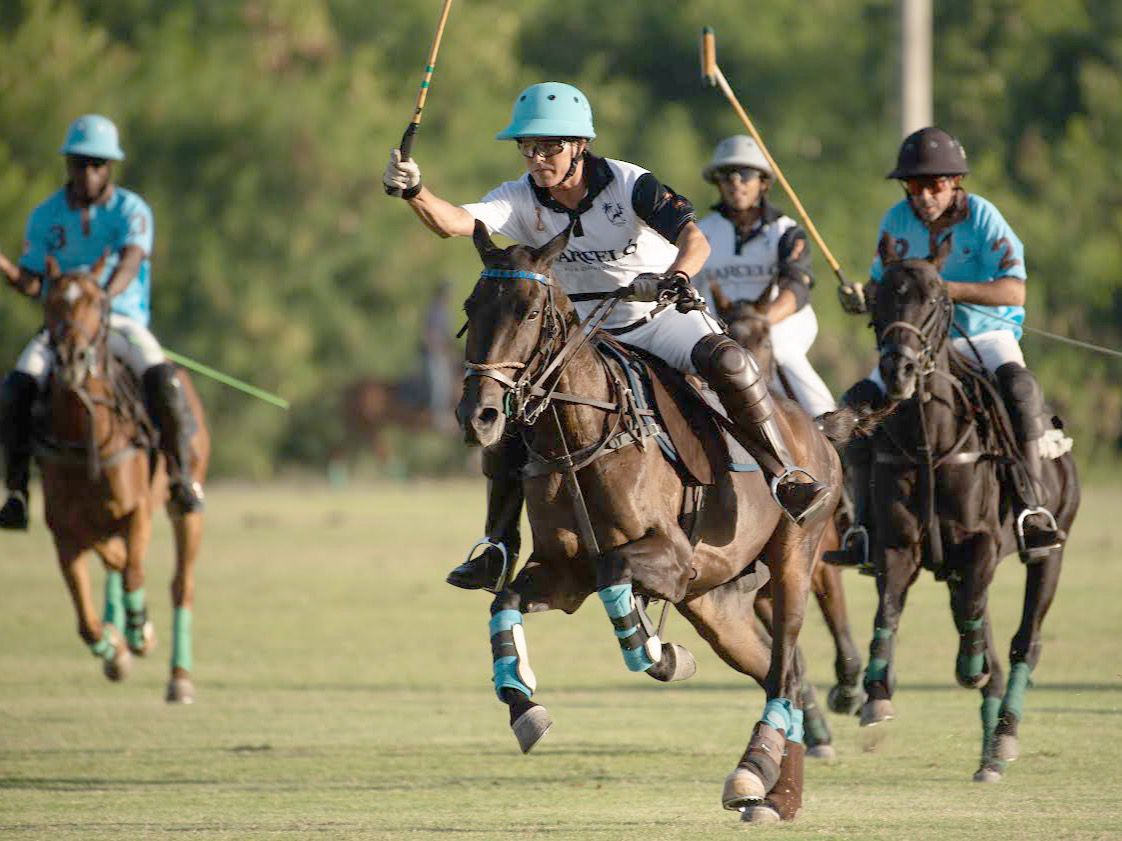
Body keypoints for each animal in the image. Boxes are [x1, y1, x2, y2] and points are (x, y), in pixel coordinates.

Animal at [39, 259, 210, 704]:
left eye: (98, 302)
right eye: (49, 301)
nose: (71, 358)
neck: (84, 434)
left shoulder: (137, 512)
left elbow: (132, 571)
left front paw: (138, 633)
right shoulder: (62, 530)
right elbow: (87, 620)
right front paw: (114, 649)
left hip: (183, 503)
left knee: (181, 584)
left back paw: (178, 677)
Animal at [709, 280, 866, 722]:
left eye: (766, 339)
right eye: (728, 329)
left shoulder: (820, 562)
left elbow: (840, 632)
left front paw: (848, 690)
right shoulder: (755, 587)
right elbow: (789, 658)